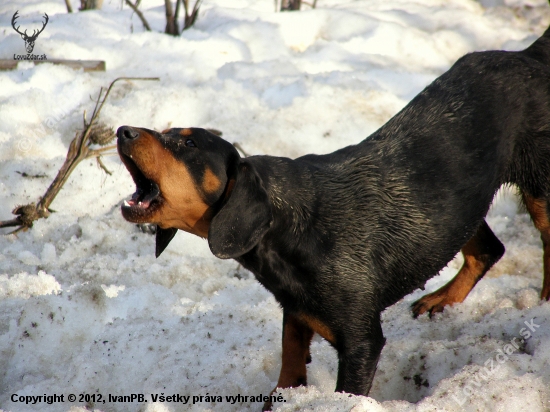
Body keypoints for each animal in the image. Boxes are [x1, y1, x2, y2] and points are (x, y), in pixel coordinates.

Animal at [116, 24, 550, 410]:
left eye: (188, 144)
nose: (122, 131)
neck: (288, 228)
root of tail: (528, 56)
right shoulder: (294, 317)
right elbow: (288, 368)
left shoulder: (361, 342)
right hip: (460, 204)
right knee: (489, 249)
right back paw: (443, 298)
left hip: (539, 189)